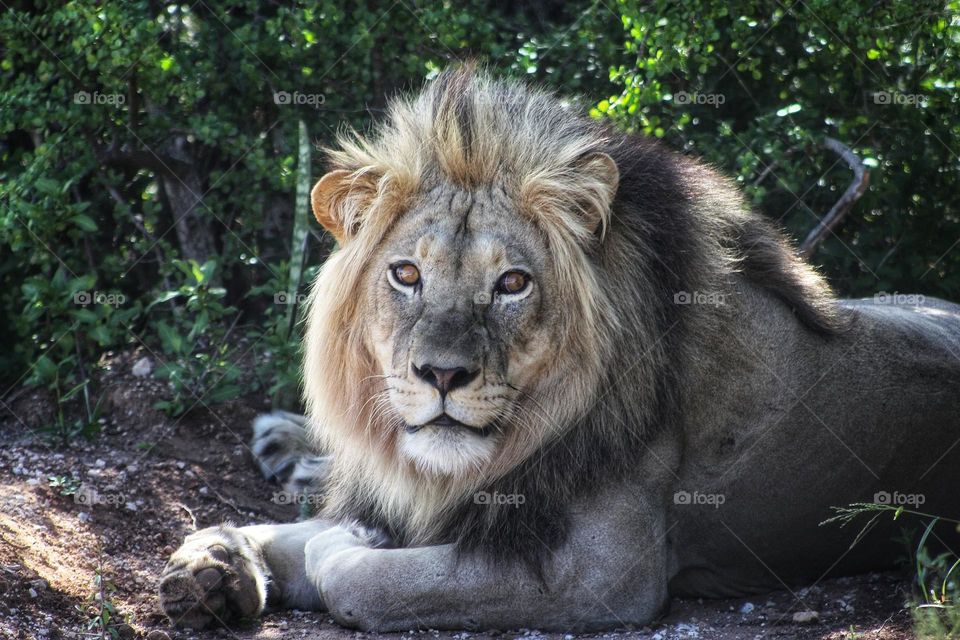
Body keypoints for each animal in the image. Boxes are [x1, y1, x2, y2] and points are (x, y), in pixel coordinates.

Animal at [158, 66, 960, 632]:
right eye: (406, 274)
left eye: (512, 283)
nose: (441, 374)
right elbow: (279, 531)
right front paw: (213, 566)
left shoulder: (603, 575)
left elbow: (360, 575)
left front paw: (339, 545)